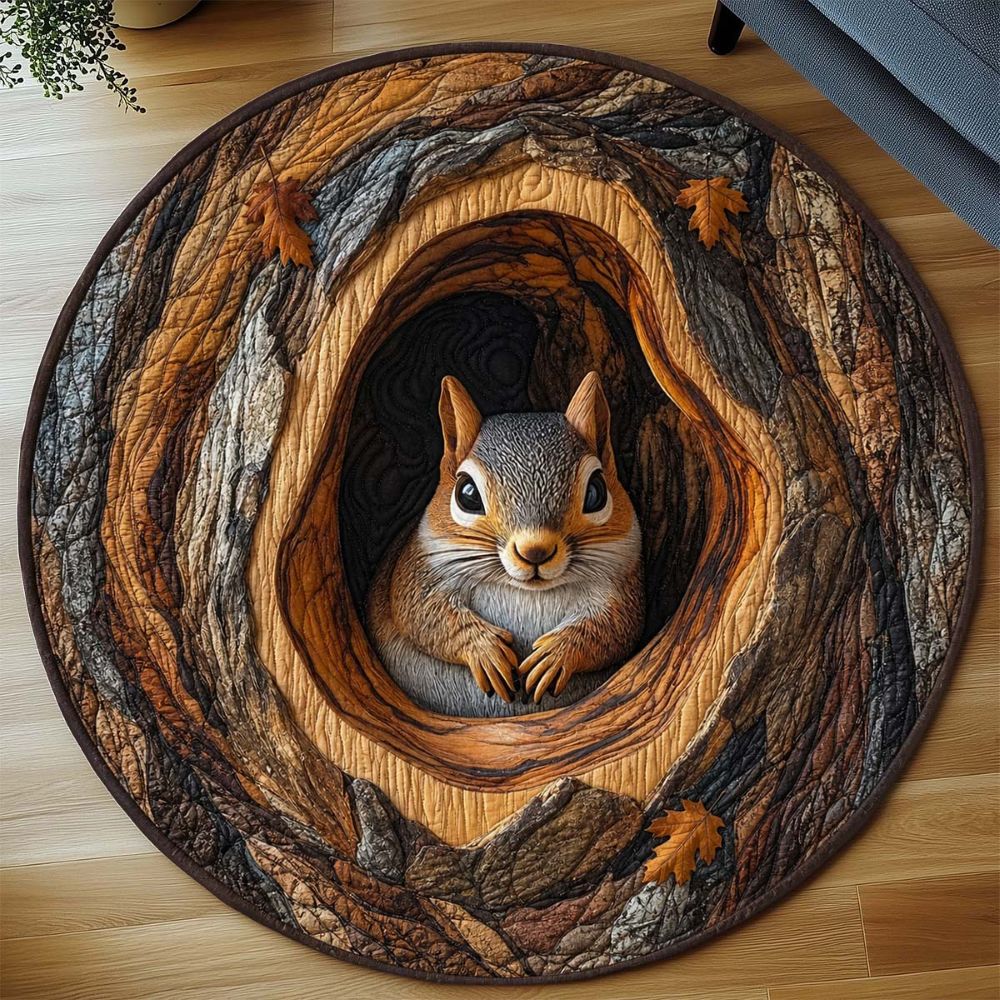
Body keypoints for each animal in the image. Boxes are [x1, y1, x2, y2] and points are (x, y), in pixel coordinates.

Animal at [367, 371, 645, 717]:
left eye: (596, 492)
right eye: (467, 494)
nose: (535, 551)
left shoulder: (620, 581)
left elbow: (616, 626)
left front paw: (556, 655)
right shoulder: (420, 567)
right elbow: (421, 612)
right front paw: (484, 649)